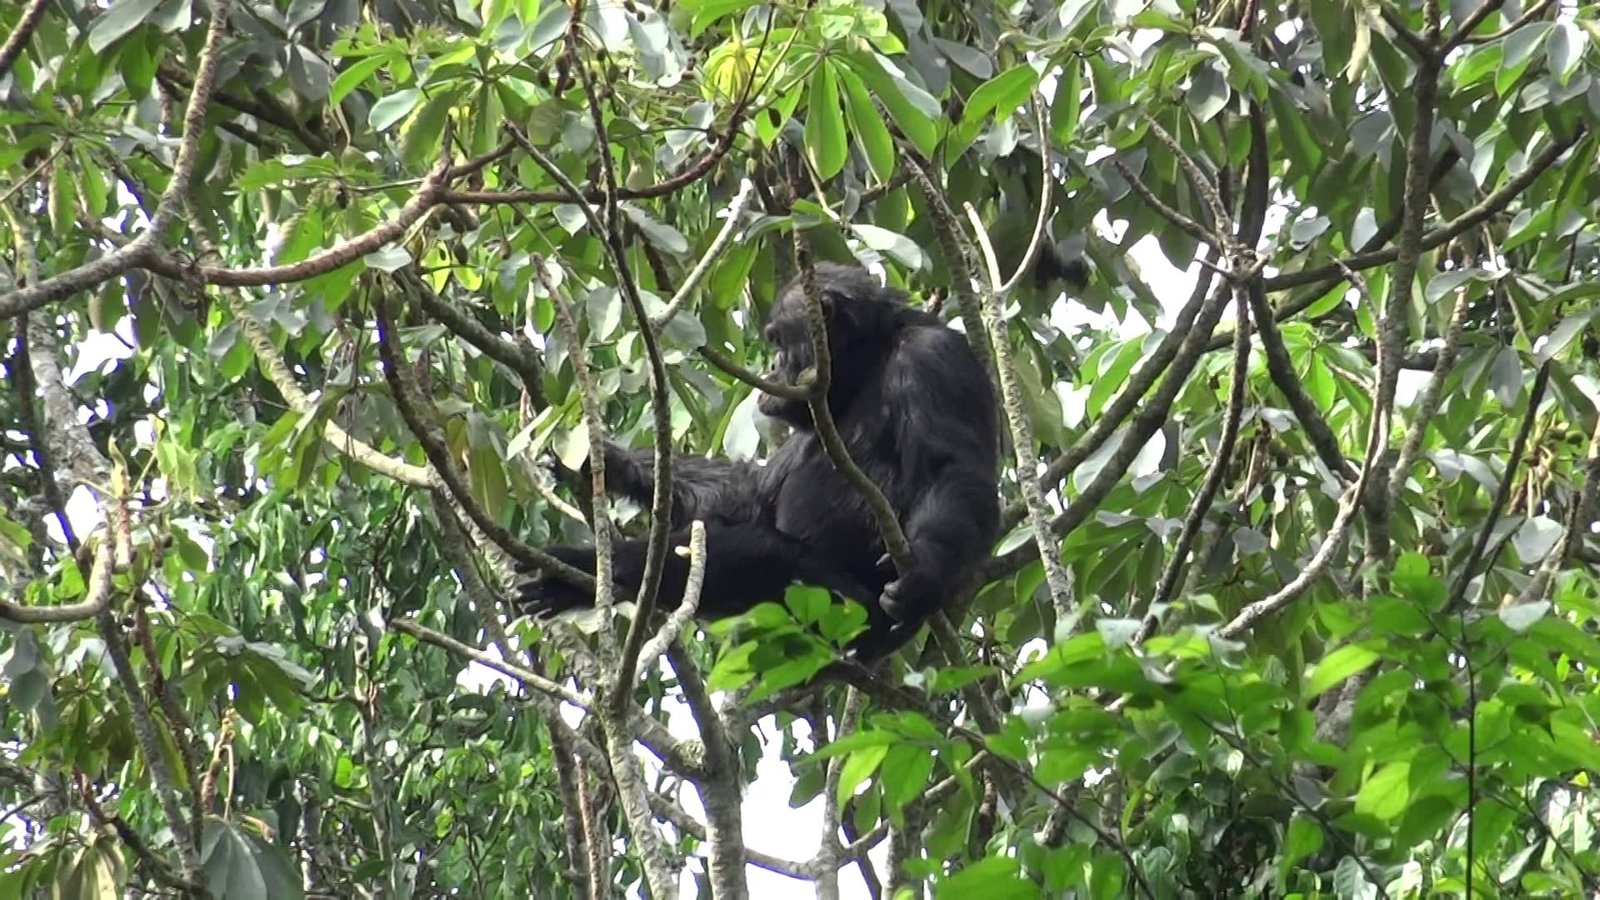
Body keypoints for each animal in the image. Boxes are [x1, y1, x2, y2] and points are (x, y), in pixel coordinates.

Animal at [518, 262, 998, 656]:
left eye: (778, 340)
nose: (772, 363)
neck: (868, 361)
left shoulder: (933, 359)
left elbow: (949, 469)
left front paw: (925, 573)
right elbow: (752, 493)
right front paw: (606, 462)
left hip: (843, 610)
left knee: (752, 554)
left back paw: (588, 566)